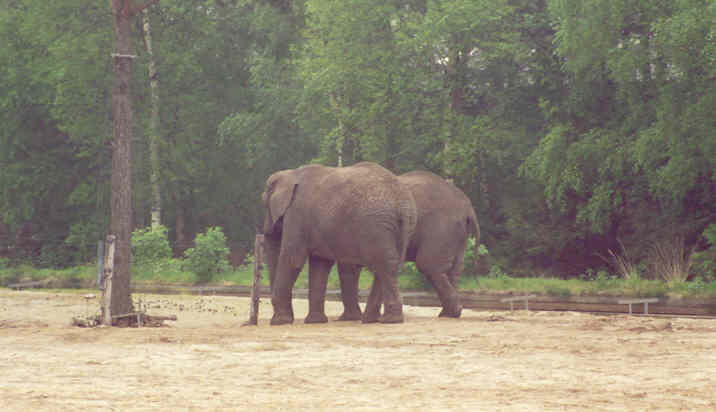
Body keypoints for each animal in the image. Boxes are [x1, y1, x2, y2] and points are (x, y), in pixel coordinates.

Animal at [262, 161, 420, 326]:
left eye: (264, 203)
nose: (269, 228)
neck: (291, 173)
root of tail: (401, 204)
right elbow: (320, 264)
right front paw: (315, 321)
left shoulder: (297, 214)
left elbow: (293, 260)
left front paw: (279, 322)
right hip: (404, 224)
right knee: (387, 265)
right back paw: (372, 319)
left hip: (376, 225)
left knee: (383, 264)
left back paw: (388, 320)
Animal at [336, 169, 482, 320]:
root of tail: (468, 208)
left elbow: (348, 267)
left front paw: (349, 318)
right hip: (459, 233)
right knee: (453, 269)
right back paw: (447, 313)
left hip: (442, 228)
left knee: (428, 264)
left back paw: (450, 312)